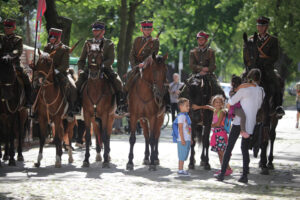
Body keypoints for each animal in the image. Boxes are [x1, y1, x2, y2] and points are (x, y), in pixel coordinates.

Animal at [81, 39, 116, 168]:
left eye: (101, 55)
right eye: (89, 55)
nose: (94, 74)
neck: (95, 89)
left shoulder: (106, 115)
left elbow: (105, 136)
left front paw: (106, 160)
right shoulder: (87, 115)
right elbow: (87, 136)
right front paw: (86, 159)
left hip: (111, 117)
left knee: (108, 135)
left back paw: (107, 155)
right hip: (94, 120)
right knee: (97, 135)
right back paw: (98, 155)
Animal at [241, 32, 284, 174]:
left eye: (256, 49)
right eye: (245, 49)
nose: (252, 69)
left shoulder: (266, 113)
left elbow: (265, 138)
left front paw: (264, 164)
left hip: (274, 116)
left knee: (271, 135)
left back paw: (268, 162)